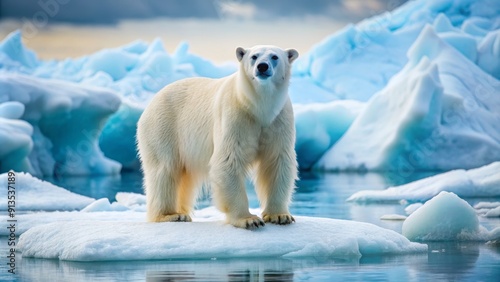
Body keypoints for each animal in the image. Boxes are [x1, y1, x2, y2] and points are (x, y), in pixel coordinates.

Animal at [137, 44, 298, 229]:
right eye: (254, 56)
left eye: (274, 57)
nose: (262, 67)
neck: (257, 108)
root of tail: (152, 101)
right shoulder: (235, 116)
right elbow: (229, 160)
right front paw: (249, 219)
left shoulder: (279, 120)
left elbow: (277, 161)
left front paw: (280, 216)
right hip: (164, 126)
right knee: (164, 169)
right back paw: (170, 215)